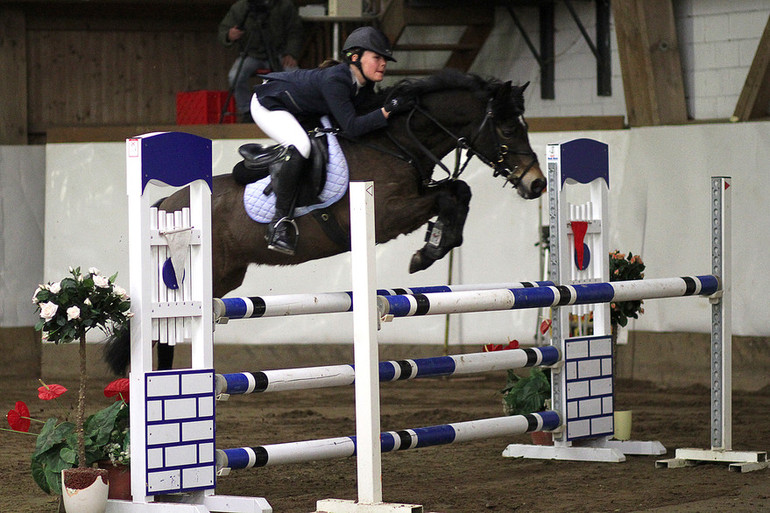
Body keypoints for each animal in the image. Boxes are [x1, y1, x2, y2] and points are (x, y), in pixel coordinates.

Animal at [103, 69, 544, 372]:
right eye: (507, 129)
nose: (536, 183)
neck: (395, 142)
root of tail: (169, 201)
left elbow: (459, 192)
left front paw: (436, 244)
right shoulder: (389, 213)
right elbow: (448, 195)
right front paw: (427, 252)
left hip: (224, 277)